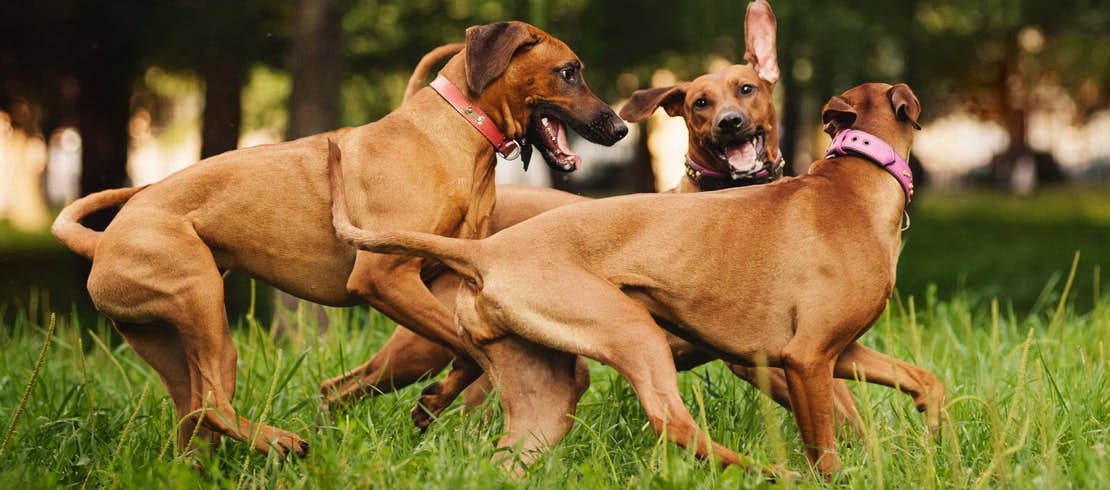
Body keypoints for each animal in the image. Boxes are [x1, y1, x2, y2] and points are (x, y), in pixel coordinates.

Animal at [54, 21, 626, 457]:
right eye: (569, 72)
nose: (619, 128)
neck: (458, 132)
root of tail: (102, 241)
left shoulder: (442, 279)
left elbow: (465, 351)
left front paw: (434, 401)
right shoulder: (383, 279)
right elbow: (466, 349)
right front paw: (436, 400)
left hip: (170, 340)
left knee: (196, 412)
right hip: (201, 302)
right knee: (214, 403)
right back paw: (284, 442)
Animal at [321, 0, 856, 437]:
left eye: (746, 89)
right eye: (700, 103)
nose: (730, 124)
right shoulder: (760, 357)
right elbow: (837, 402)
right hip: (420, 342)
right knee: (363, 382)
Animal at [328, 82, 945, 475]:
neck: (855, 180)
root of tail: (485, 251)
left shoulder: (838, 352)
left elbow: (924, 378)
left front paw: (935, 430)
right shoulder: (806, 359)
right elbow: (827, 447)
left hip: (546, 397)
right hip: (632, 333)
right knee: (672, 422)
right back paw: (767, 471)